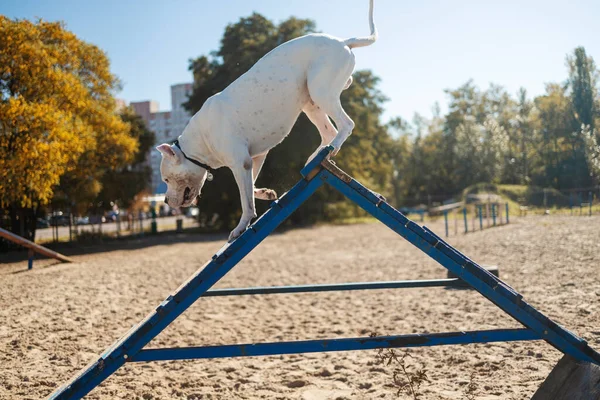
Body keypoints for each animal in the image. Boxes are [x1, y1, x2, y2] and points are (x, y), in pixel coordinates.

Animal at [157, 0, 378, 241]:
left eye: (166, 180)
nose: (166, 200)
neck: (200, 140)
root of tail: (343, 41)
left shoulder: (240, 163)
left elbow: (245, 201)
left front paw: (240, 227)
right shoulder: (254, 158)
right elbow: (250, 188)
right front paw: (266, 193)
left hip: (321, 91)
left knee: (346, 125)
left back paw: (333, 148)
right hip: (311, 102)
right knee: (329, 130)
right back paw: (317, 155)